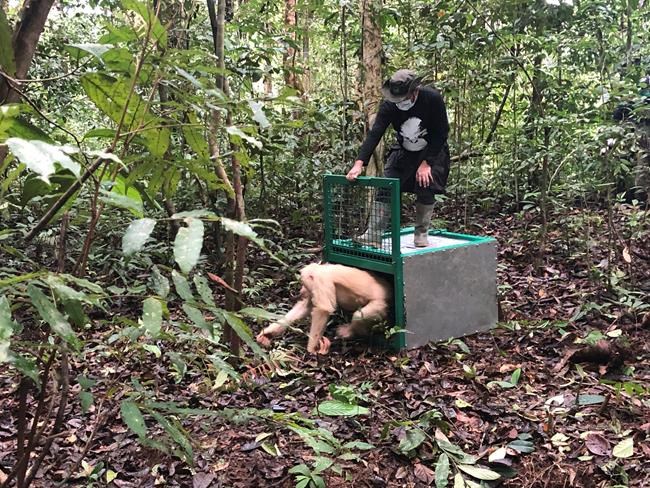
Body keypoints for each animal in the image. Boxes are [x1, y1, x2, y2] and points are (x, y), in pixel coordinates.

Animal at [256, 263, 392, 354]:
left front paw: (312, 349)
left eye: (304, 284)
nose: (302, 291)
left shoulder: (320, 281)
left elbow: (323, 309)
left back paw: (351, 332)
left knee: (360, 315)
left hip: (380, 303)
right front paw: (267, 334)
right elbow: (304, 308)